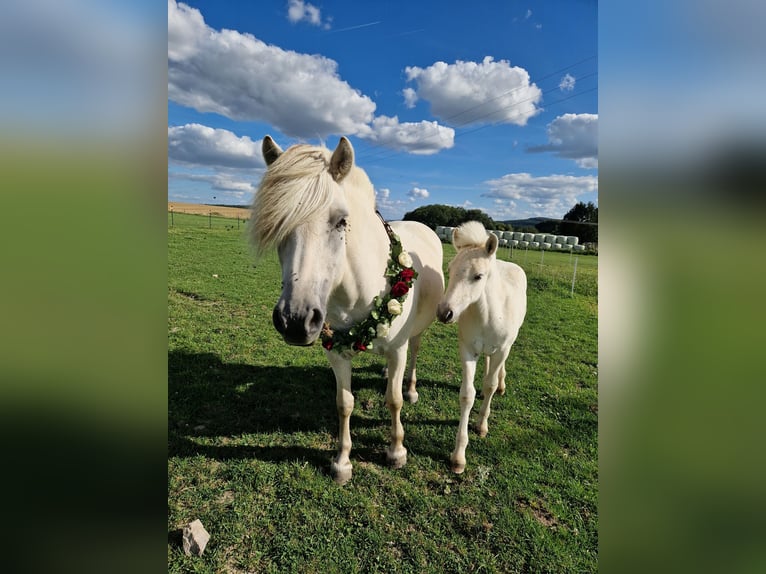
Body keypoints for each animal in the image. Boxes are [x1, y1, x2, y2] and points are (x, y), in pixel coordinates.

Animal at [249, 137, 448, 484]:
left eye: (341, 221)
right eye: (278, 224)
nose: (295, 321)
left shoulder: (397, 350)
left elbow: (393, 400)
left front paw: (396, 451)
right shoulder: (336, 351)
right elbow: (344, 403)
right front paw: (342, 462)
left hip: (416, 335)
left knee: (414, 354)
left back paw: (410, 388)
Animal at [438, 223, 528, 474]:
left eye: (478, 276)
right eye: (450, 270)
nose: (444, 313)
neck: (488, 314)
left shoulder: (502, 349)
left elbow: (489, 386)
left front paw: (481, 425)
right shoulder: (468, 350)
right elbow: (467, 395)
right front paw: (458, 457)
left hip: (506, 346)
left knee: (496, 373)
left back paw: (502, 385)